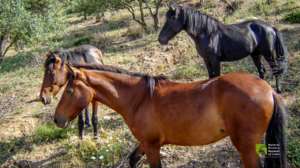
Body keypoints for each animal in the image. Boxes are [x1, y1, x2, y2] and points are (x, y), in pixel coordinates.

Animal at [53, 63, 286, 168]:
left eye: (68, 90)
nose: (56, 119)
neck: (139, 98)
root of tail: (268, 90)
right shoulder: (145, 143)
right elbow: (132, 159)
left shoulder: (152, 145)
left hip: (246, 147)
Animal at [158, 5, 290, 93]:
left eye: (171, 19)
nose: (160, 39)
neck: (207, 34)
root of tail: (271, 28)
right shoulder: (206, 61)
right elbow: (210, 77)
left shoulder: (215, 61)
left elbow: (216, 77)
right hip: (256, 54)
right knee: (261, 70)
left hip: (268, 54)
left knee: (275, 70)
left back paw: (278, 90)